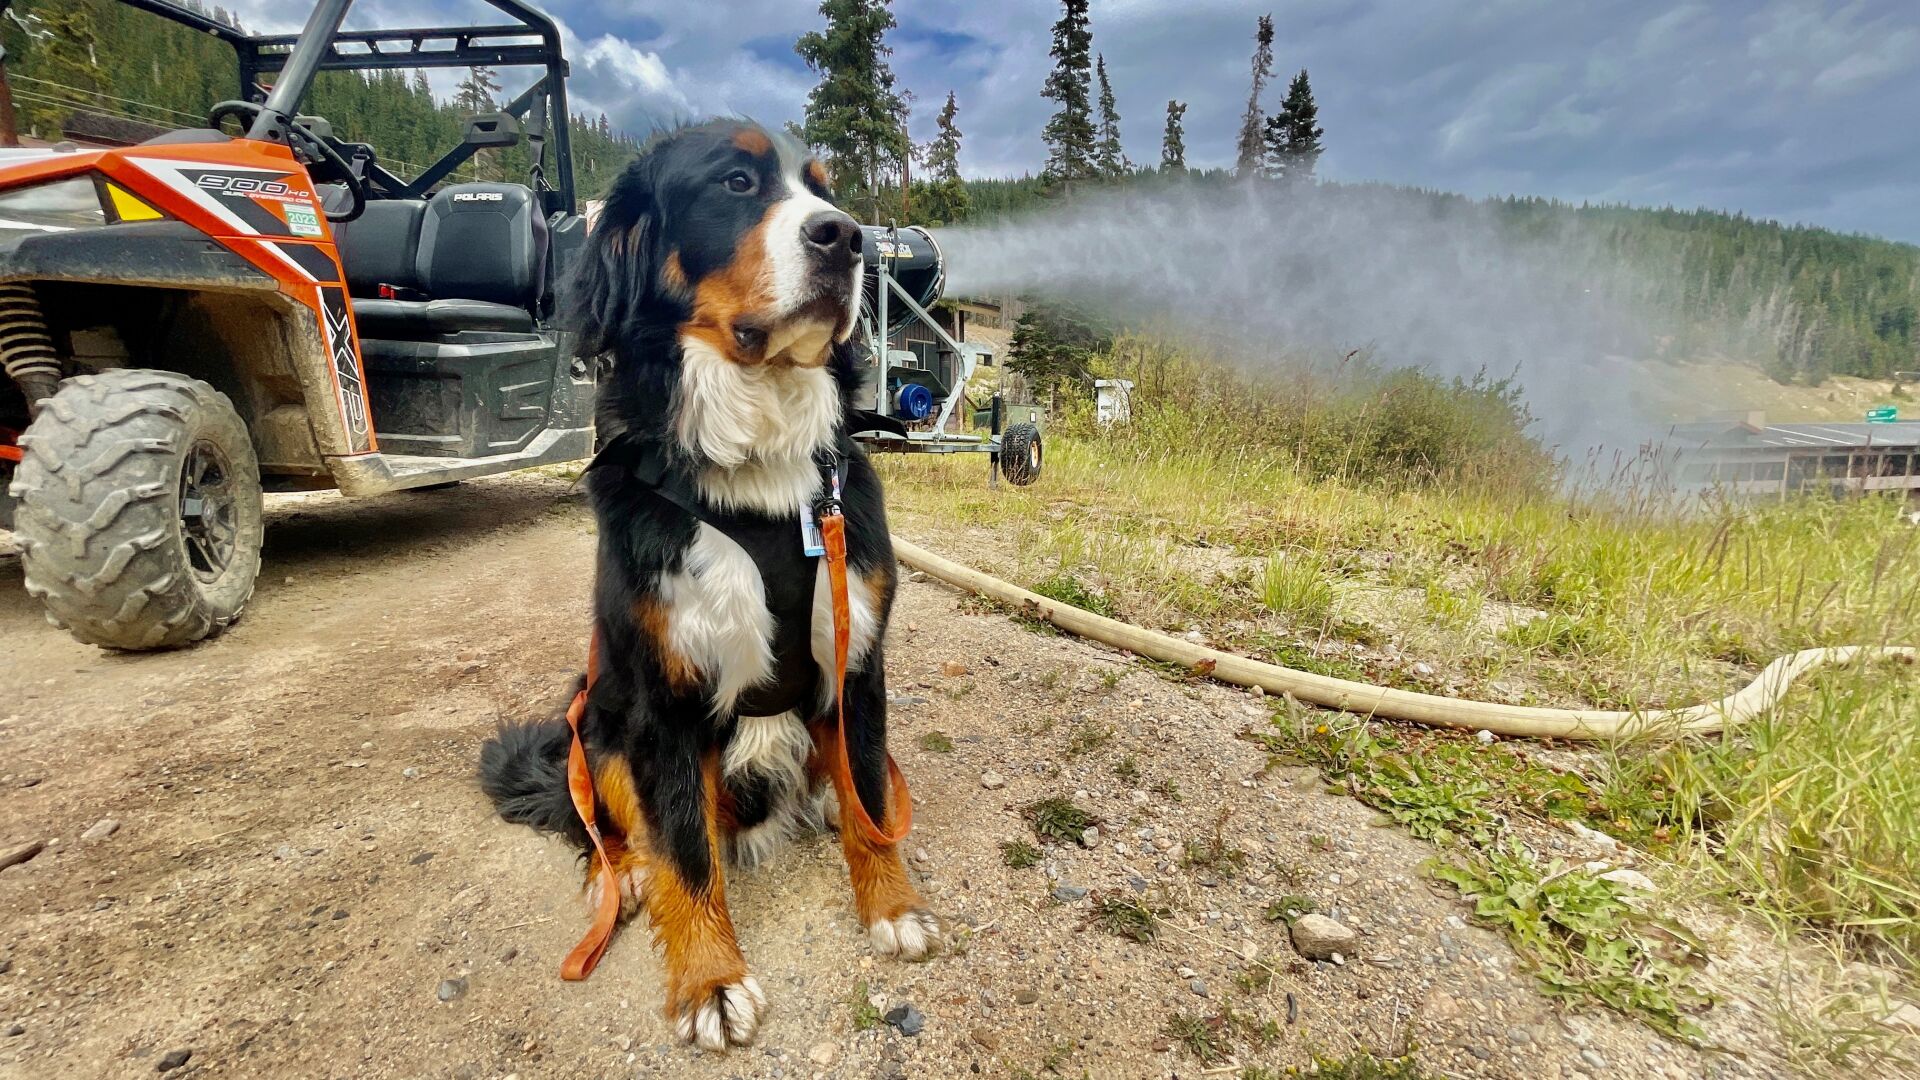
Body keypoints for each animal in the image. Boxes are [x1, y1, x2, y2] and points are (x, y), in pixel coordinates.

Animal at [476, 122, 933, 1045]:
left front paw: (890, 902)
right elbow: (687, 853)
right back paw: (624, 875)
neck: (759, 476)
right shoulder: (663, 697)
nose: (849, 240)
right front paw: (709, 980)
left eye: (826, 189)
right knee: (617, 828)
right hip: (597, 716)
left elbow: (871, 791)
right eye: (735, 182)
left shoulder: (857, 659)